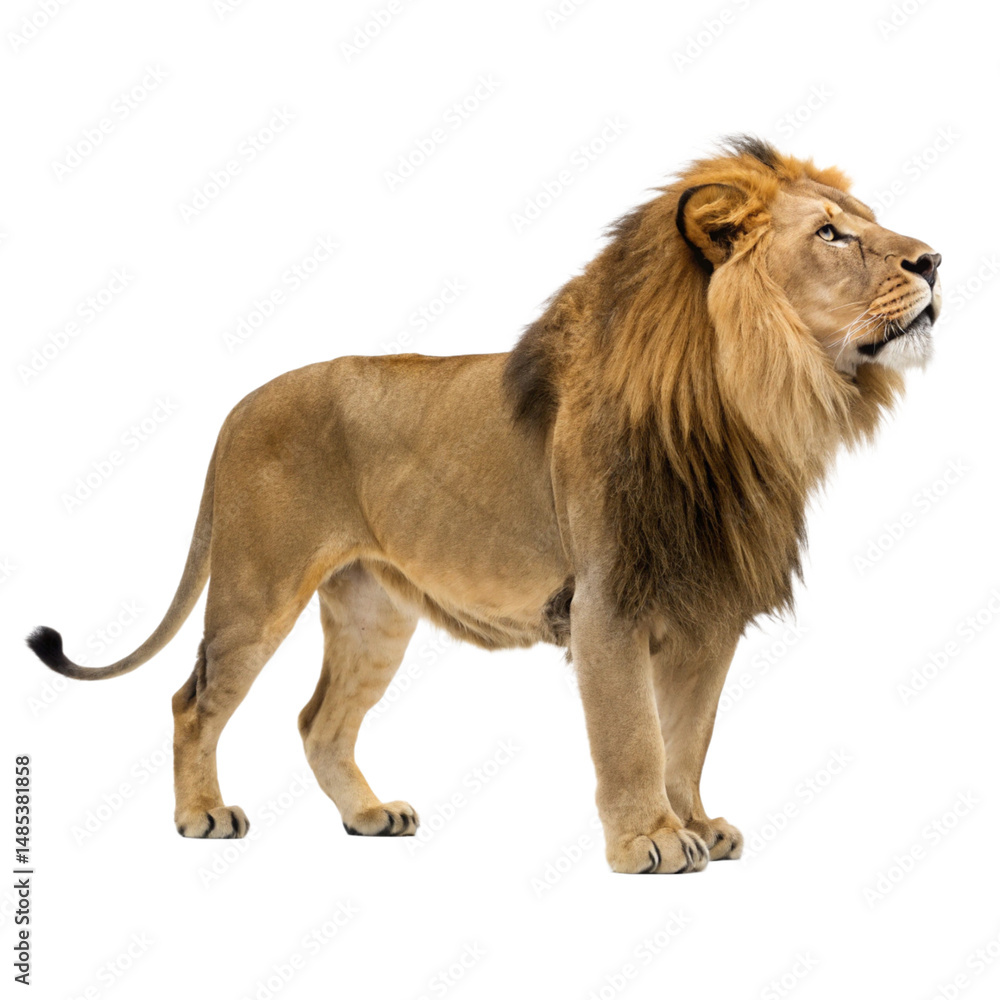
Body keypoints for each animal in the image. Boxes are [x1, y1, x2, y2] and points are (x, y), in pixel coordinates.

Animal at [28, 136, 941, 873]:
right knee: (194, 700)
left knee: (320, 720)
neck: (745, 407)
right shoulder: (608, 603)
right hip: (257, 586)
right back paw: (202, 815)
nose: (934, 260)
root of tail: (239, 405)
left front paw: (696, 822)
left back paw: (369, 815)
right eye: (831, 233)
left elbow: (688, 736)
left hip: (374, 611)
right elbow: (633, 737)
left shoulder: (708, 609)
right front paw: (649, 839)